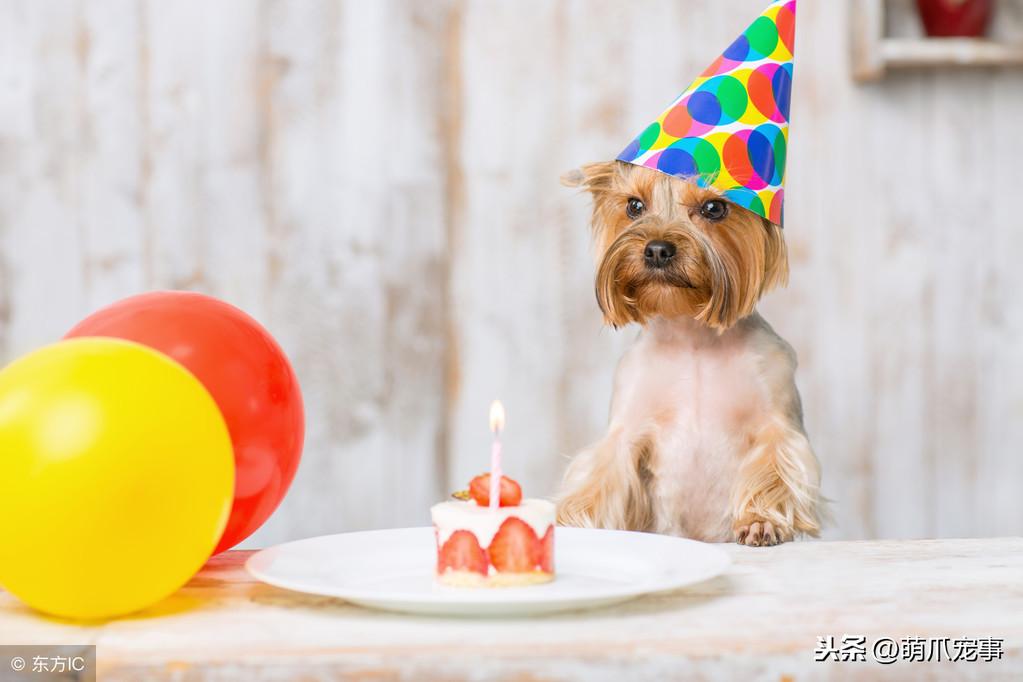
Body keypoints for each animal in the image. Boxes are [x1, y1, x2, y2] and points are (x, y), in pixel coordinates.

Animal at [552, 158, 822, 543]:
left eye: (714, 208)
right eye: (634, 206)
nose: (657, 249)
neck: (692, 337)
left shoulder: (777, 413)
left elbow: (775, 466)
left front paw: (761, 521)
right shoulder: (627, 423)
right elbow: (602, 473)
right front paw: (572, 520)